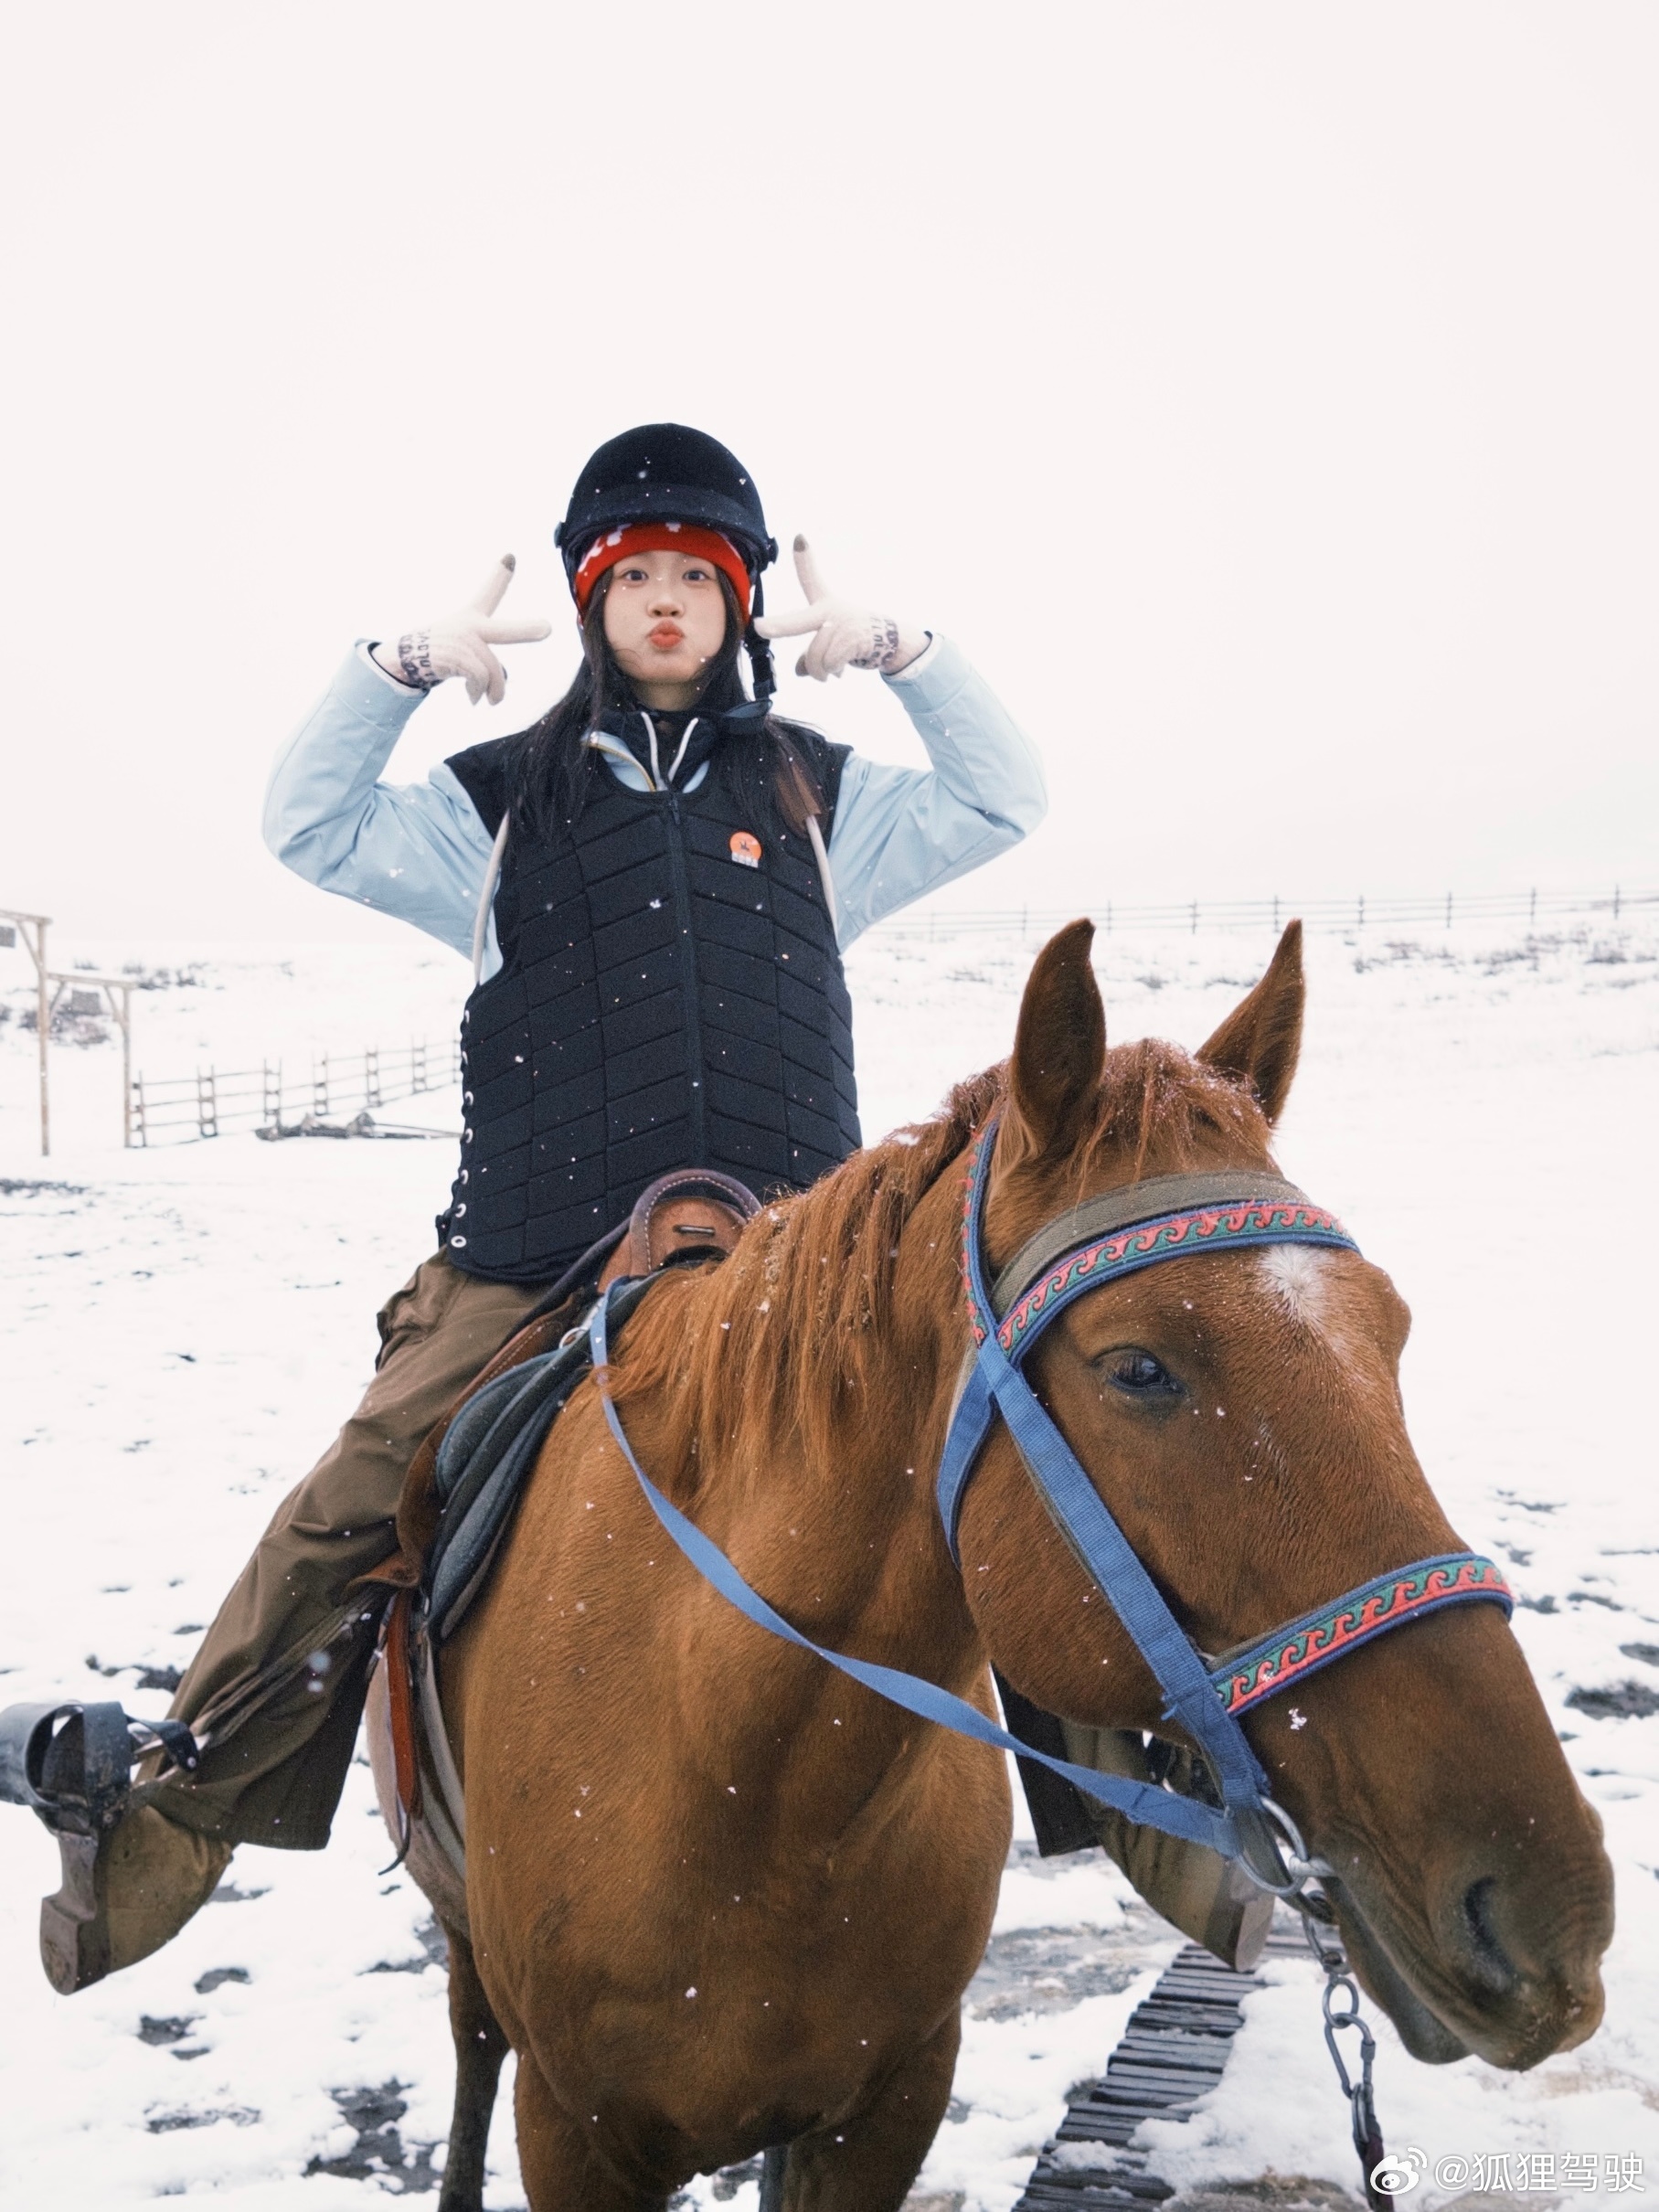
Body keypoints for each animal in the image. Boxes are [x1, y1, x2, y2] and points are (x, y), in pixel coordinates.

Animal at [366, 918, 1614, 2212]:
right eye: (1138, 1367)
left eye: (1392, 1331)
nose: (1546, 1901)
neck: (738, 1772)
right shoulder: (577, 2130)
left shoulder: (890, 2102)